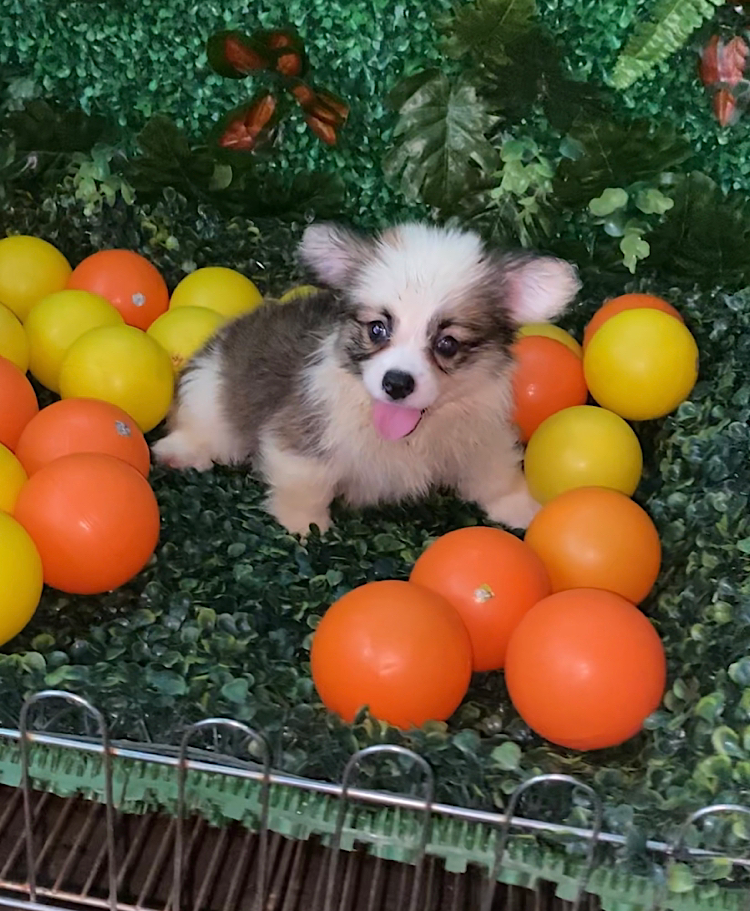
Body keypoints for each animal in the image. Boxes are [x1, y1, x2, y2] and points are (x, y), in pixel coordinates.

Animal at [153, 221, 584, 536]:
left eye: (446, 343)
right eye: (378, 329)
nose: (397, 383)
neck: (410, 434)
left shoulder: (483, 440)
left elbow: (496, 475)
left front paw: (520, 507)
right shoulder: (303, 439)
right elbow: (305, 484)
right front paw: (304, 527)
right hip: (211, 389)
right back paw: (182, 450)